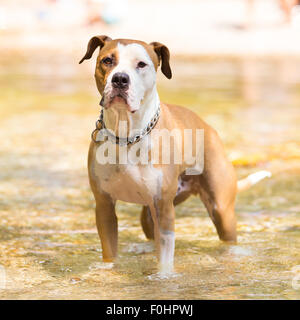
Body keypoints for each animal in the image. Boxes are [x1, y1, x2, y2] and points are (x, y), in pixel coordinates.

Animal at [78, 36, 270, 274]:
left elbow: (165, 258)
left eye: (141, 64)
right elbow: (109, 251)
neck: (128, 136)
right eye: (107, 60)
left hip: (221, 211)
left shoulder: (164, 209)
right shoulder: (104, 205)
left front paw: (163, 277)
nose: (120, 79)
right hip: (148, 215)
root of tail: (209, 128)